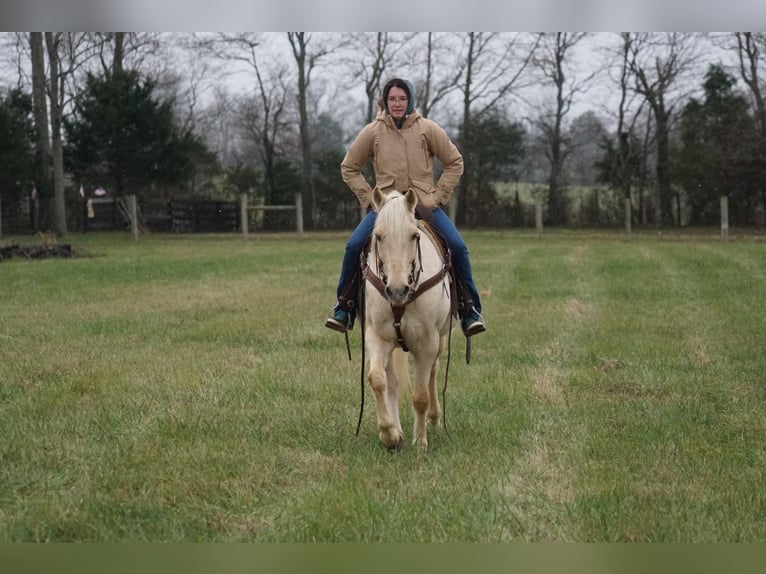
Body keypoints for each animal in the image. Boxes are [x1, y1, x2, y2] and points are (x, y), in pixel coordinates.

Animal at [364, 189, 452, 450]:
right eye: (378, 236)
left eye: (414, 236)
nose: (397, 290)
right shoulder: (377, 337)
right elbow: (378, 379)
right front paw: (390, 434)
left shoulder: (427, 343)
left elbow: (420, 396)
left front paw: (420, 442)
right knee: (392, 381)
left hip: (440, 339)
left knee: (433, 372)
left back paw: (434, 418)